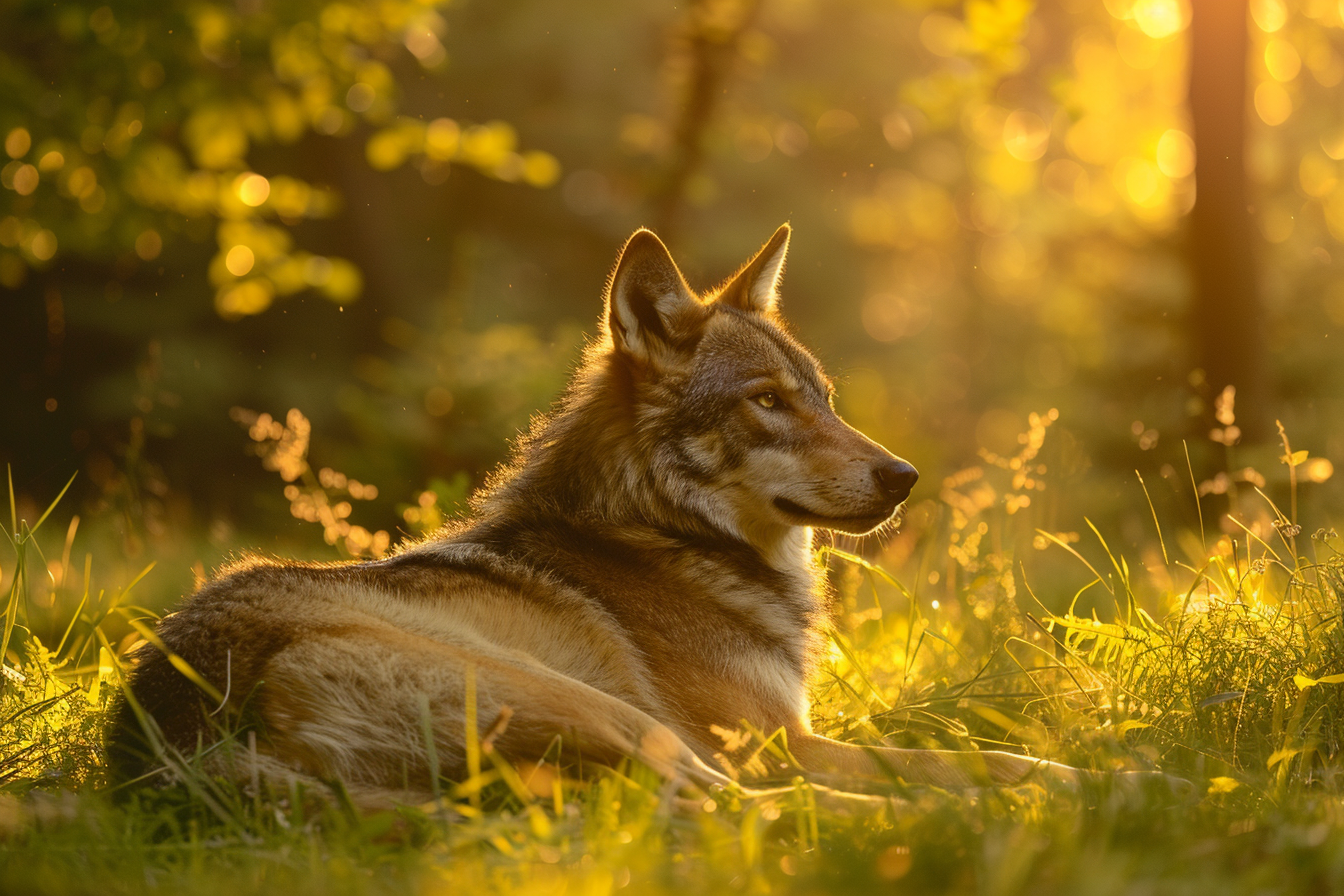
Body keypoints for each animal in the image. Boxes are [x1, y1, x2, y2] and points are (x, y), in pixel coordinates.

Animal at [109, 225, 1173, 803]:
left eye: (824, 398)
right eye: (767, 401)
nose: (904, 477)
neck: (666, 539)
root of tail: (170, 738)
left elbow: (986, 747)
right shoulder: (778, 741)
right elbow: (964, 758)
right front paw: (1112, 780)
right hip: (610, 712)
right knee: (747, 811)